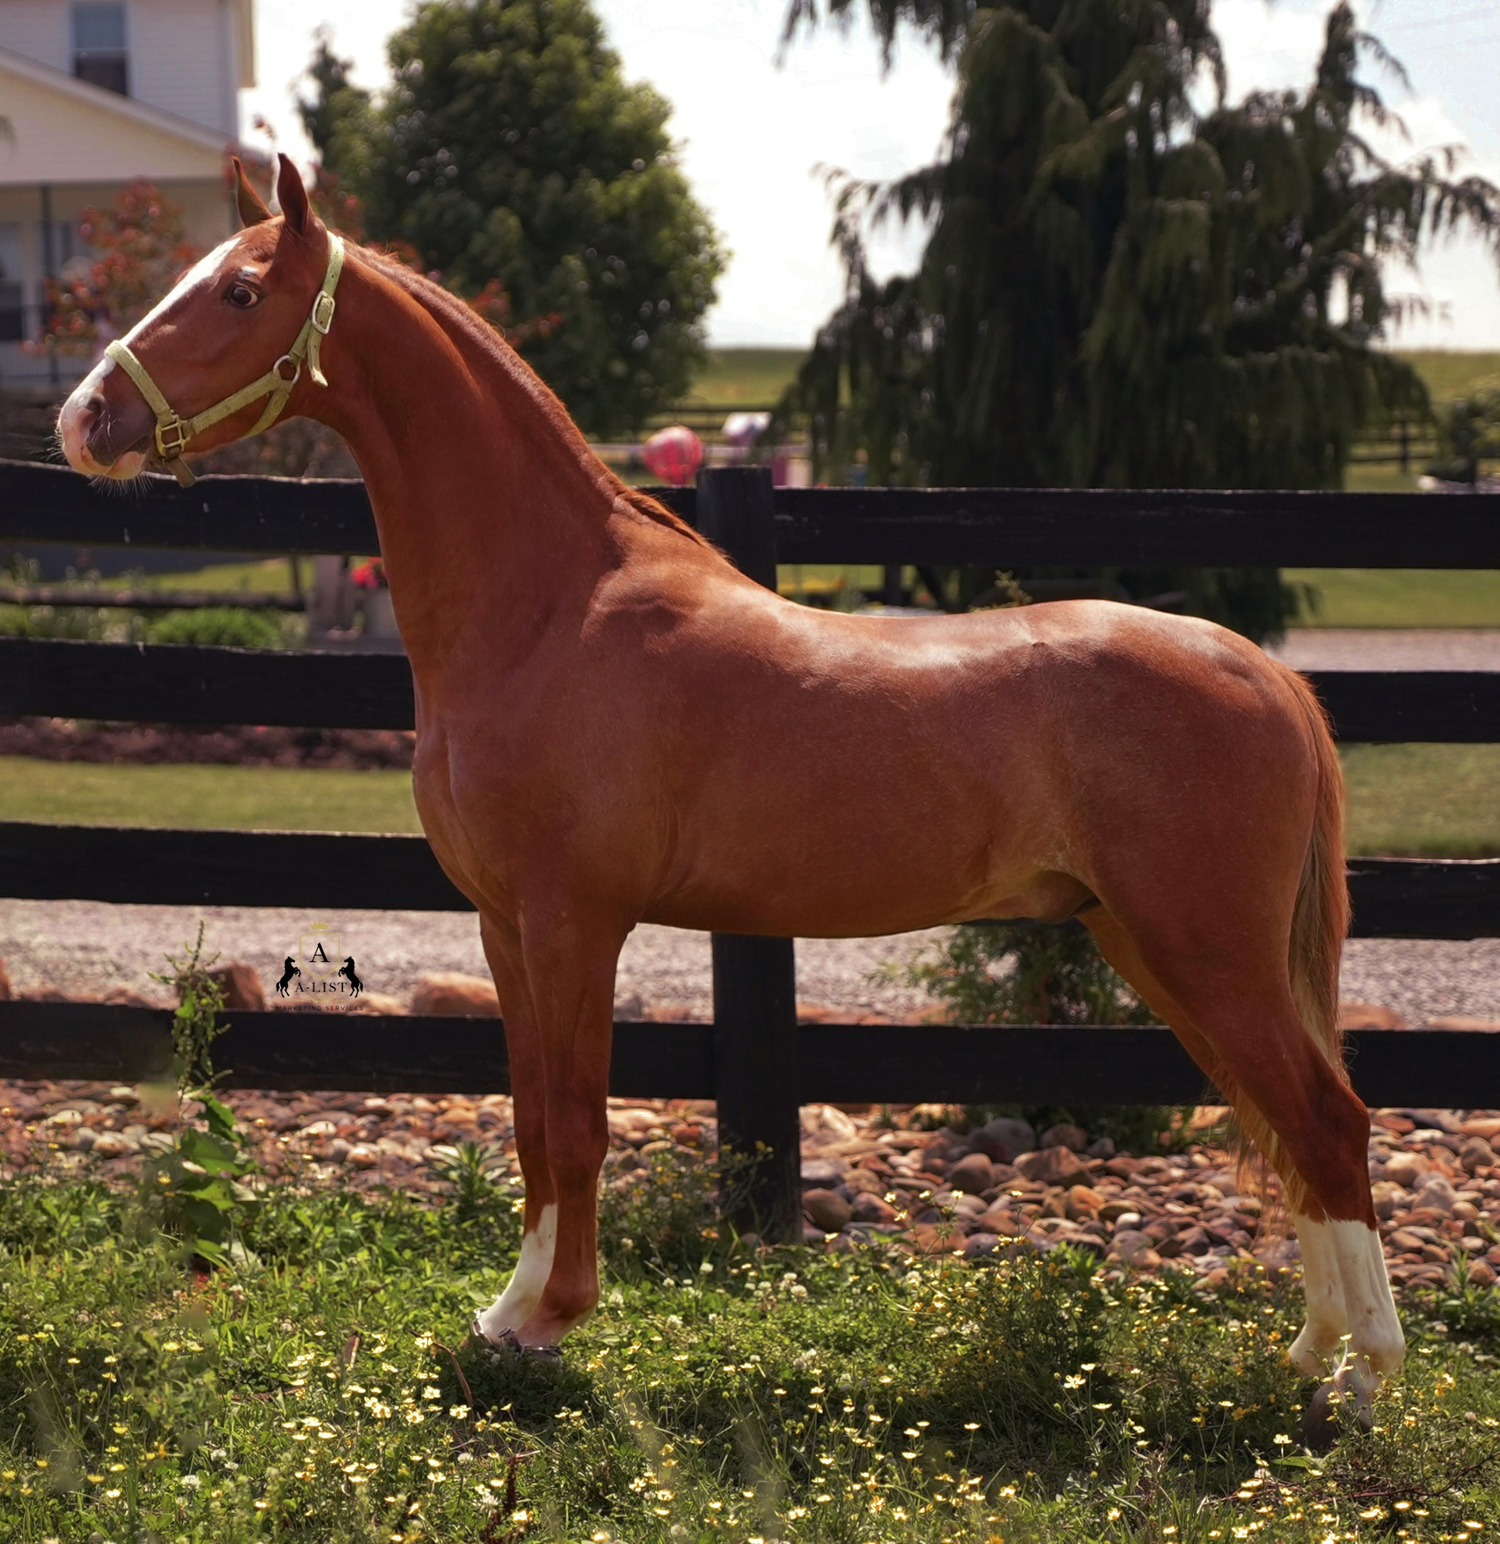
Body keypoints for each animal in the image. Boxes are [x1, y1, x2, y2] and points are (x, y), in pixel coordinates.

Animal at [57, 154, 1402, 1422]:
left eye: (239, 290)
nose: (82, 418)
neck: (547, 607)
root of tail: (1269, 674)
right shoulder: (504, 926)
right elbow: (530, 1120)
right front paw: (508, 1313)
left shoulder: (576, 918)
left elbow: (578, 1120)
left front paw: (555, 1318)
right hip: (1151, 944)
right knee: (1289, 1123)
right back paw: (1312, 1352)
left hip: (1204, 950)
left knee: (1328, 1123)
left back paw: (1359, 1378)